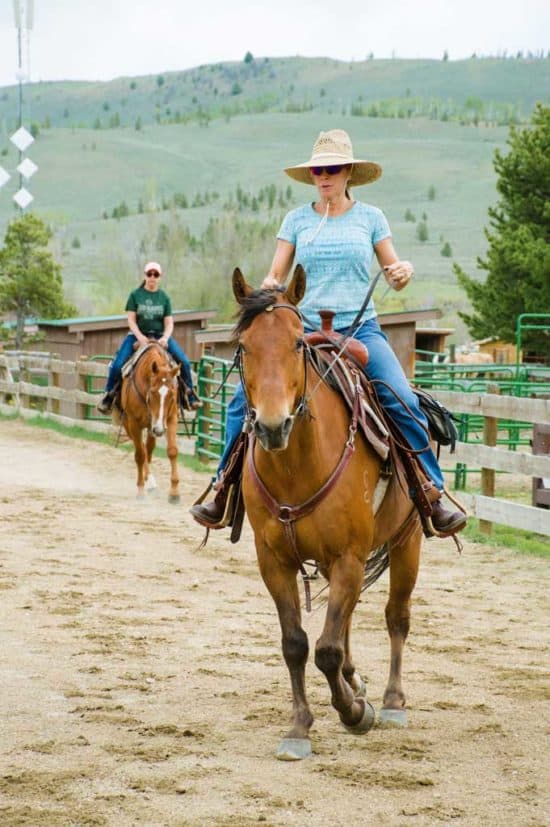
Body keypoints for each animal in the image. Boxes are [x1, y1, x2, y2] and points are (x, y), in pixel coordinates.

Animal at [119, 344, 182, 504]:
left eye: (172, 394)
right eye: (153, 392)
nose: (159, 430)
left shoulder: (170, 419)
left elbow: (172, 451)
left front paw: (174, 493)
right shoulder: (134, 423)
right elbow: (140, 455)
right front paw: (140, 490)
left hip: (152, 427)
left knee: (149, 449)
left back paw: (151, 482)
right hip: (133, 425)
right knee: (143, 450)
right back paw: (149, 483)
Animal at [235, 266, 424, 764]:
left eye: (297, 343)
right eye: (243, 346)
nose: (273, 425)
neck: (297, 465)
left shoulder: (349, 556)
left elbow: (327, 650)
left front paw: (355, 713)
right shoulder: (274, 561)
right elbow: (298, 644)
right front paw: (300, 727)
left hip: (407, 541)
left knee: (396, 616)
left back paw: (391, 702)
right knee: (348, 620)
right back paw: (357, 682)